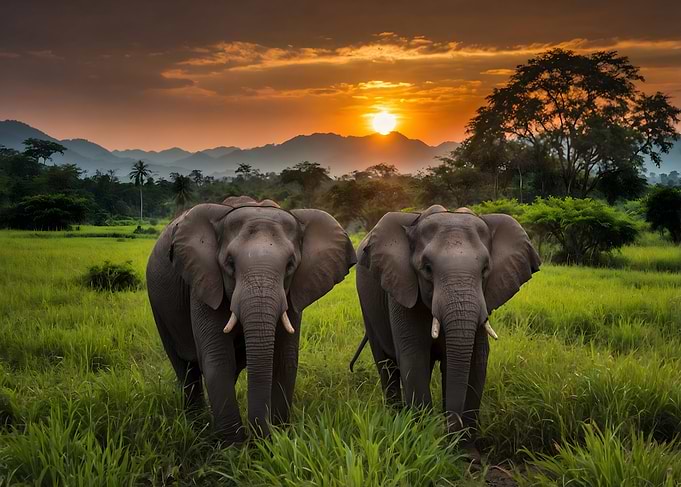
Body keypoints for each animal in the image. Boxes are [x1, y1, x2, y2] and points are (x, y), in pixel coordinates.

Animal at [147, 196, 356, 444]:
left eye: (290, 265)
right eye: (229, 263)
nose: (259, 438)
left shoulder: (294, 291)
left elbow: (284, 358)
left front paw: (277, 440)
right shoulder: (204, 281)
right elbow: (218, 359)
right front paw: (233, 448)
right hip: (158, 304)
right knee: (185, 368)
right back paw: (196, 422)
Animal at [350, 205, 539, 460]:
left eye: (485, 270)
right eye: (427, 269)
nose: (447, 426)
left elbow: (476, 362)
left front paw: (467, 455)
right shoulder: (402, 288)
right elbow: (414, 357)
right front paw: (424, 442)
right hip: (366, 303)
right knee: (386, 364)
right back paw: (394, 416)